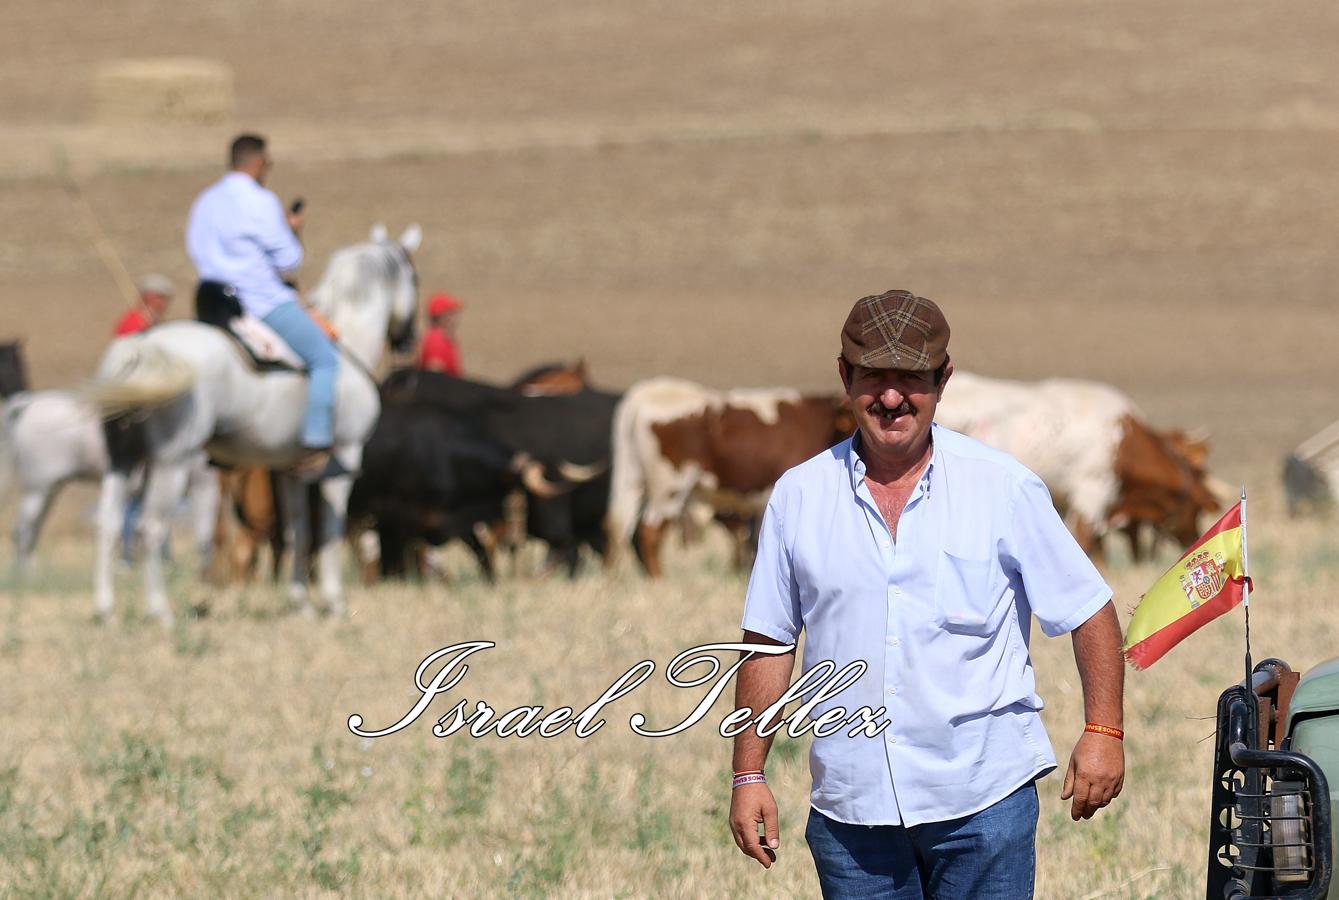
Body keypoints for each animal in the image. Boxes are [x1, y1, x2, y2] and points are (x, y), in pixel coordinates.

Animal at [87, 220, 417, 621]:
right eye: (414, 277)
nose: (407, 340)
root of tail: (141, 348)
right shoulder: (344, 459)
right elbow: (330, 531)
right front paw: (334, 602)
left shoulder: (292, 470)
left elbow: (298, 532)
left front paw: (301, 603)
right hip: (172, 461)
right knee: (150, 529)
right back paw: (161, 611)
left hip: (122, 458)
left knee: (108, 524)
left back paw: (106, 609)